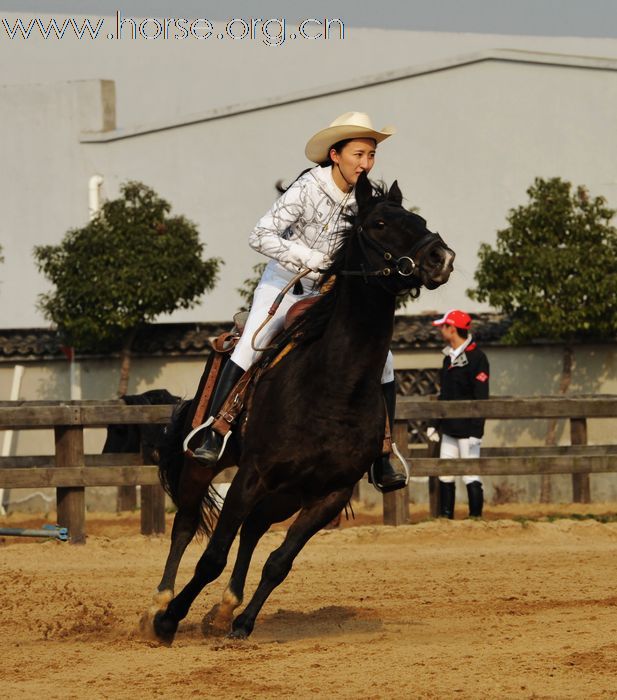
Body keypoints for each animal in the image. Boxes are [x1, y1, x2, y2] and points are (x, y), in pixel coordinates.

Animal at [143, 172, 452, 644]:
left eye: (420, 220)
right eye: (379, 223)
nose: (441, 257)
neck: (333, 387)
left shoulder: (329, 494)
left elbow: (279, 562)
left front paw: (242, 622)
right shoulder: (251, 476)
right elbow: (212, 556)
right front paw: (170, 618)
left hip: (287, 494)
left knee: (253, 530)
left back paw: (225, 610)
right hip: (203, 466)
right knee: (187, 525)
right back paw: (159, 604)